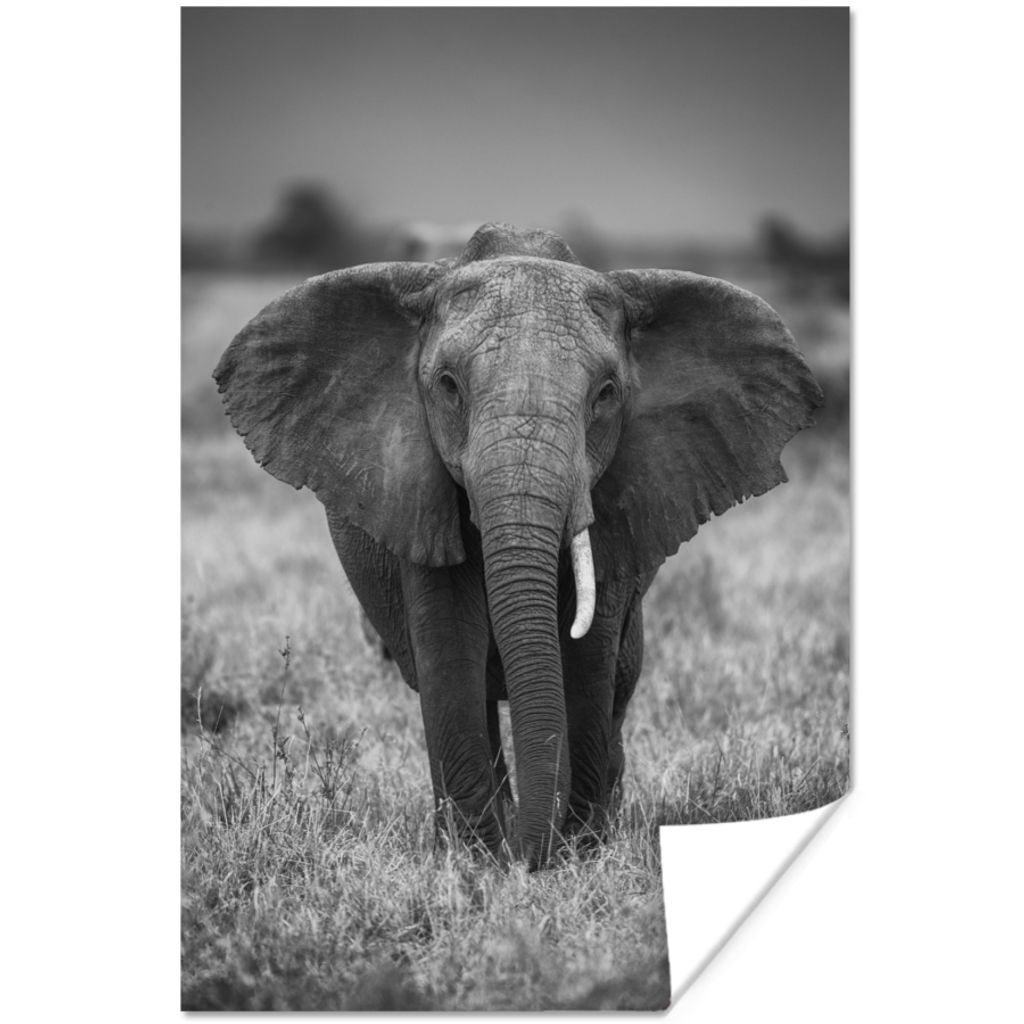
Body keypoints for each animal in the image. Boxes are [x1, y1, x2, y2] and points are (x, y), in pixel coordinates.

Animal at [214, 222, 823, 869]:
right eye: (448, 387)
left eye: (606, 393)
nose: (530, 858)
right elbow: (450, 647)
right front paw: (476, 863)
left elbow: (587, 658)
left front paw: (575, 854)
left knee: (620, 682)